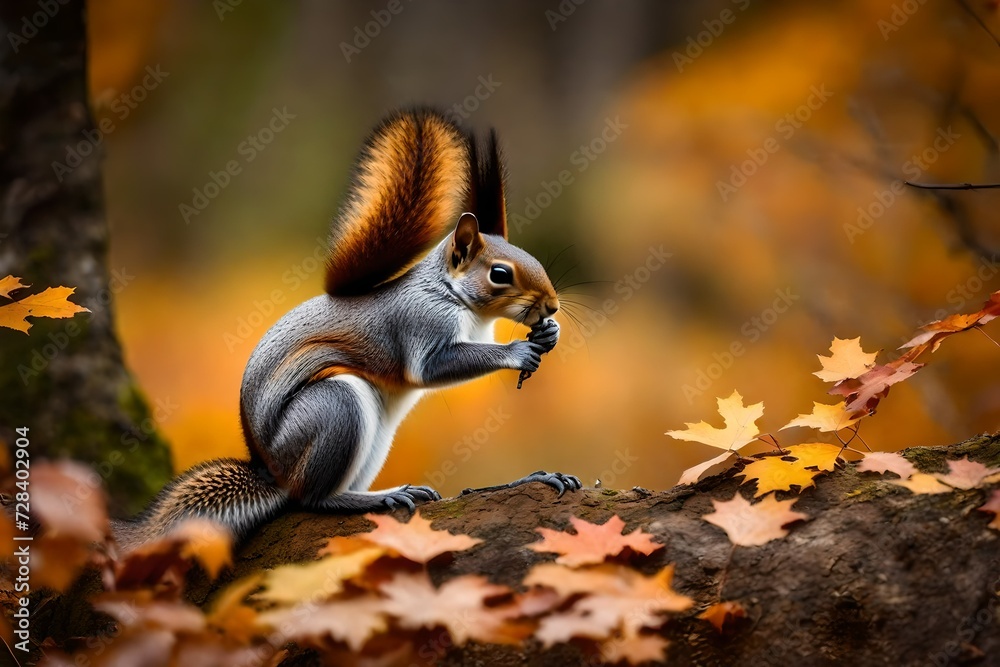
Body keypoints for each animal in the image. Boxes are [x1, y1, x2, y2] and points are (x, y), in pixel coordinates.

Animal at [113, 107, 581, 551]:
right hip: (335, 407)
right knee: (311, 499)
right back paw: (373, 498)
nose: (552, 305)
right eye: (500, 274)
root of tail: (274, 472)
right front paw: (517, 352)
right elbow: (430, 368)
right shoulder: (421, 321)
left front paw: (550, 333)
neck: (455, 297)